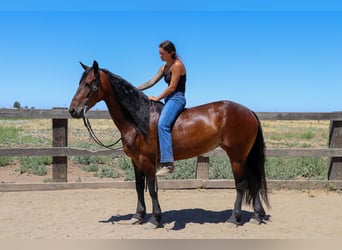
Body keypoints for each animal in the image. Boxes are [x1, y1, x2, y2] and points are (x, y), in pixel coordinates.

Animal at [69, 60, 270, 229]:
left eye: (89, 84)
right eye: (79, 82)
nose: (72, 110)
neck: (139, 119)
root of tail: (249, 111)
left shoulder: (148, 160)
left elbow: (151, 188)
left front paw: (155, 219)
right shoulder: (136, 161)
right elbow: (138, 186)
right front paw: (138, 216)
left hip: (237, 156)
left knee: (241, 184)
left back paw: (234, 219)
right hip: (245, 156)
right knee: (254, 182)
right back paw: (256, 216)